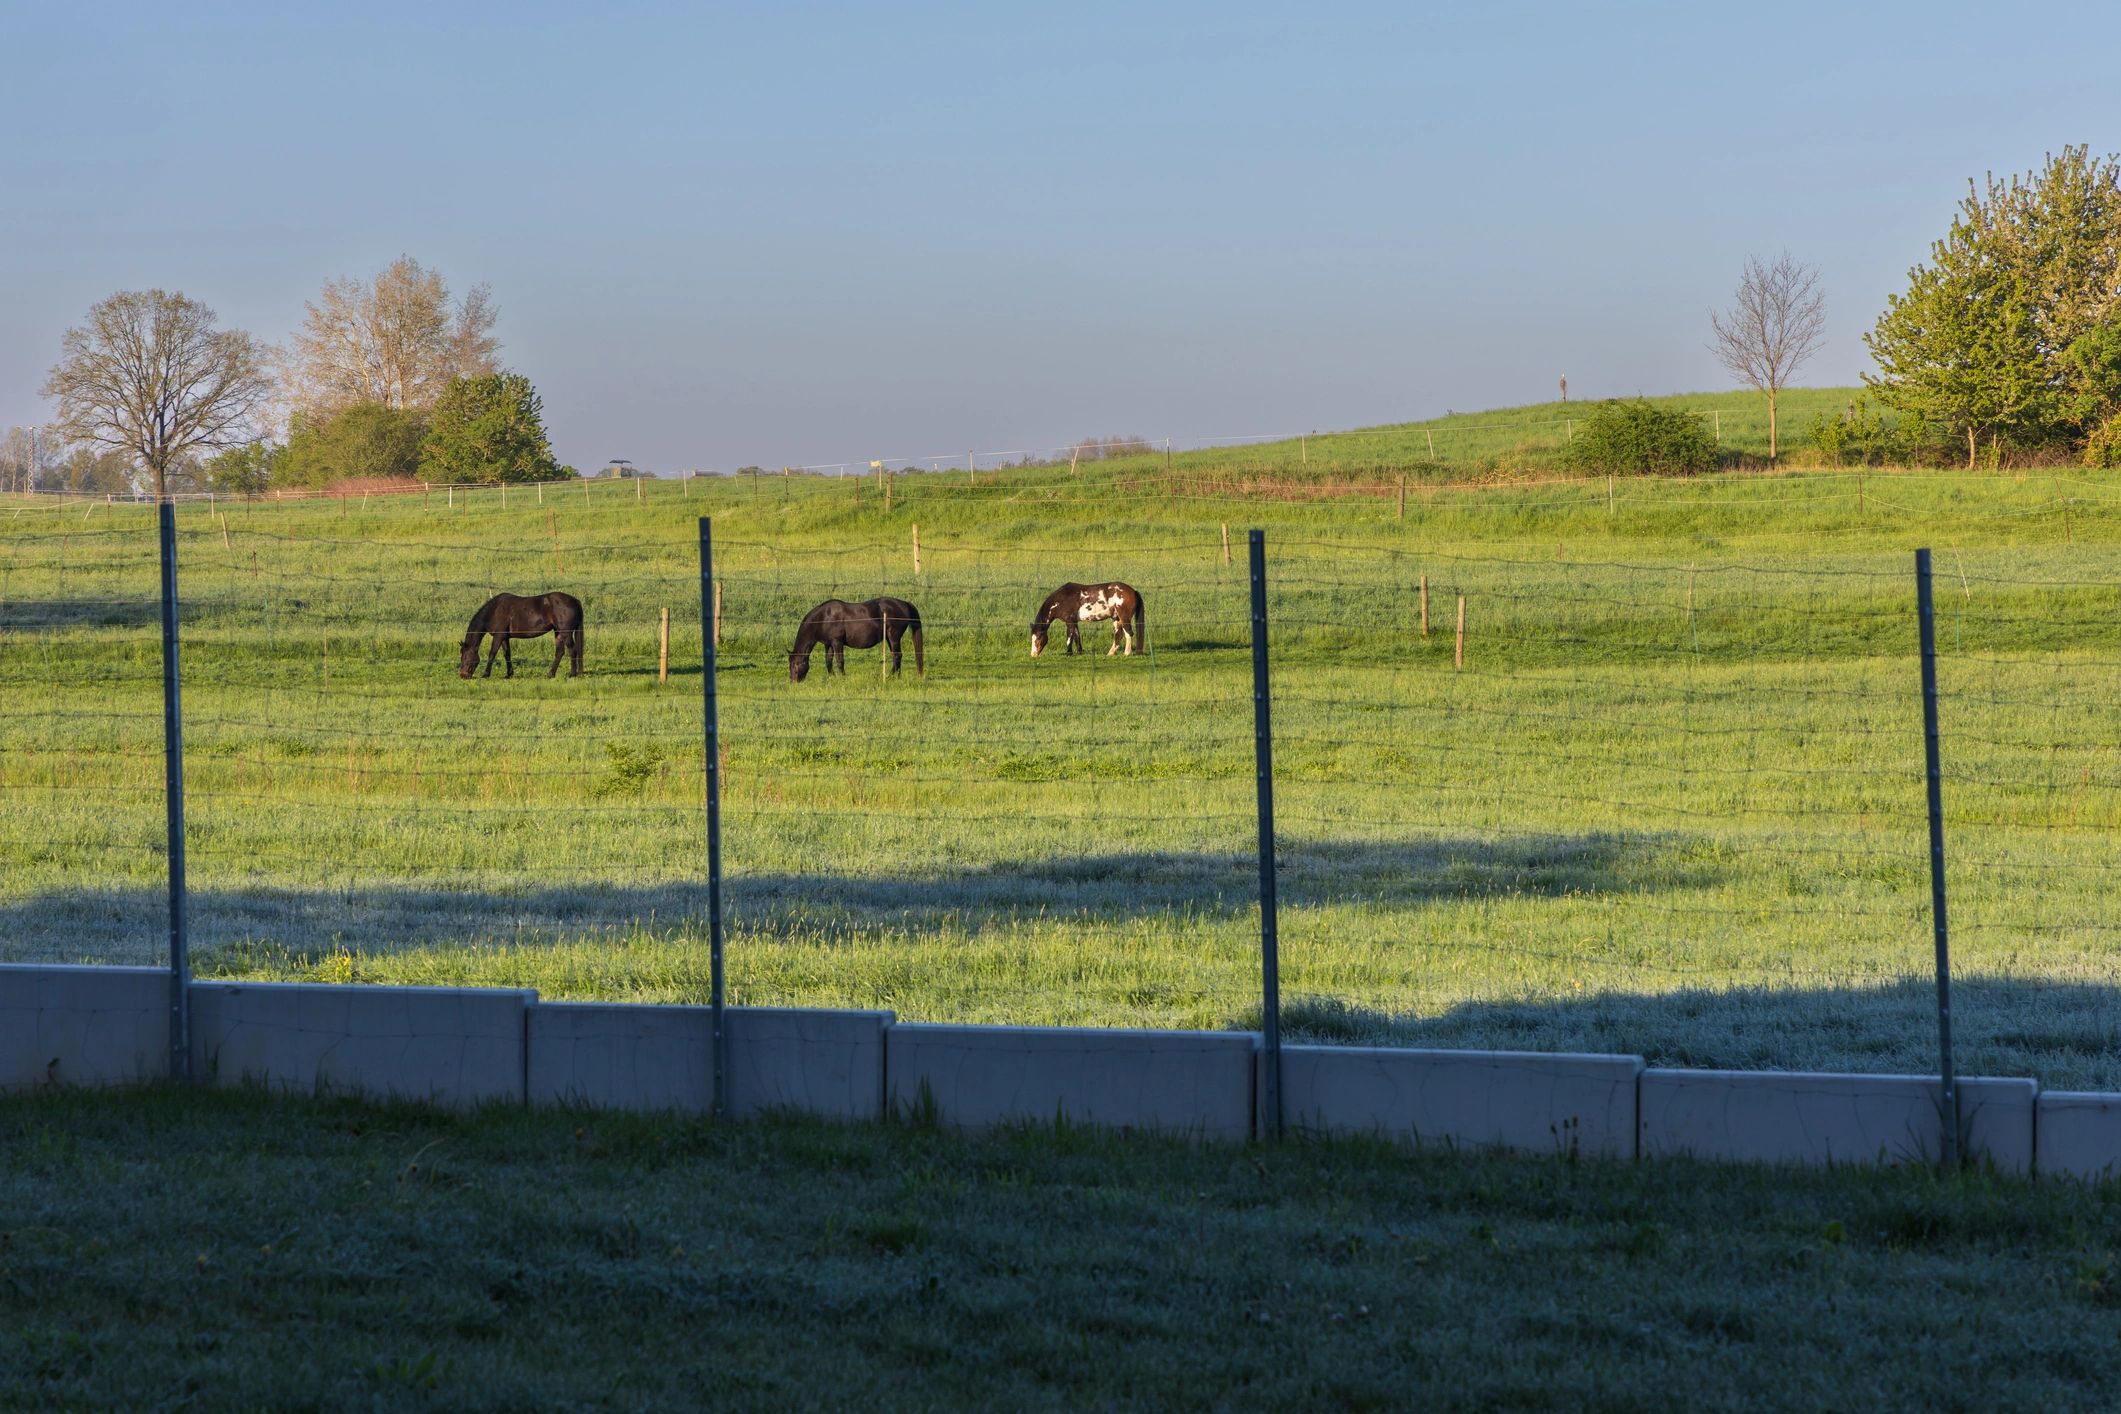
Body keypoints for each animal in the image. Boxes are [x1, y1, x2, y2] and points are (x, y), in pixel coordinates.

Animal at [790, 597, 925, 682]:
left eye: (795, 664)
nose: (793, 682)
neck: (824, 617)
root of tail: (904, 603)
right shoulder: (829, 644)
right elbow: (828, 661)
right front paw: (832, 677)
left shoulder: (837, 642)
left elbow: (840, 661)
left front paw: (843, 678)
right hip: (889, 638)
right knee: (897, 656)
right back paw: (897, 676)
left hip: (894, 637)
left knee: (897, 656)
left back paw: (891, 676)